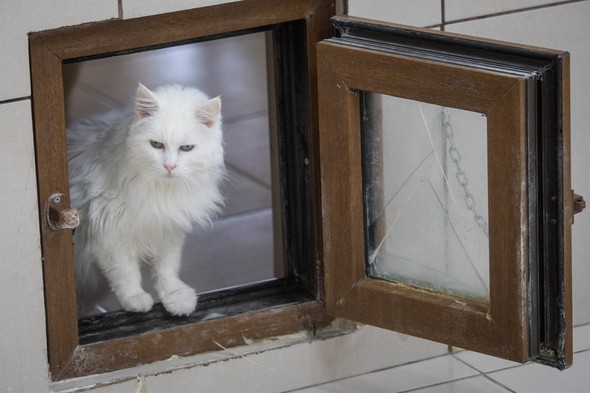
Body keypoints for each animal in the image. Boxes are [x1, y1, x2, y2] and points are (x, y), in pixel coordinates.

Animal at [67, 82, 224, 316]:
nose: (169, 166)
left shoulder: (169, 231)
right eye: (156, 145)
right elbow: (126, 273)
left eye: (186, 148)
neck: (161, 191)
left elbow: (167, 269)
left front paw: (175, 298)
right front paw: (136, 300)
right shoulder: (110, 236)